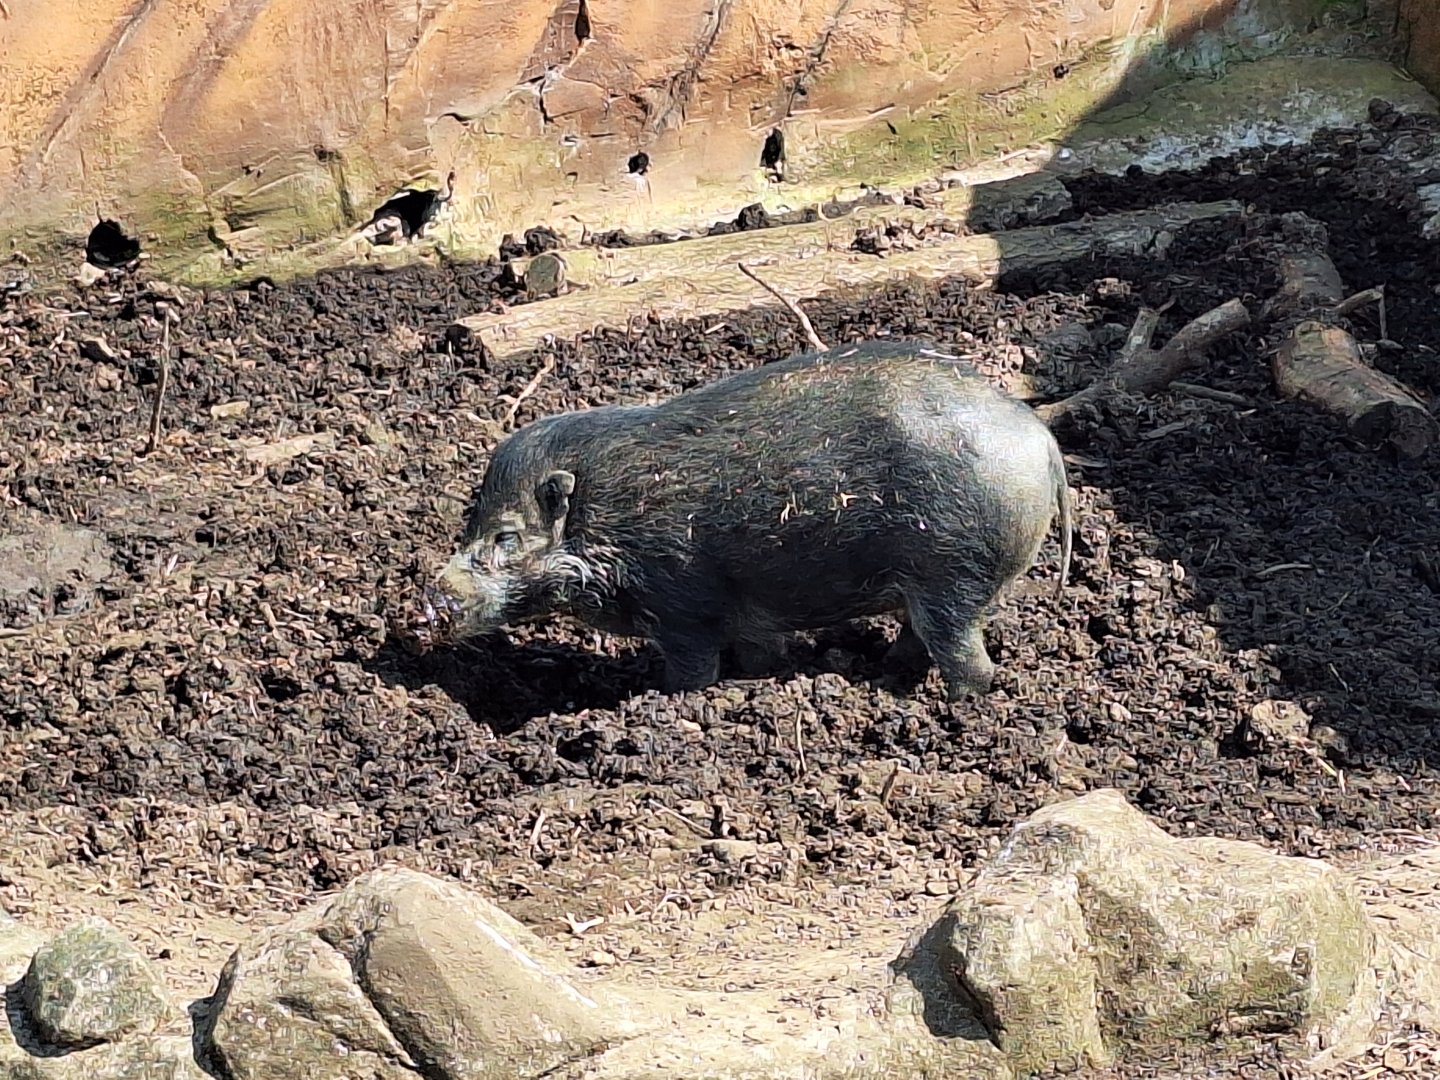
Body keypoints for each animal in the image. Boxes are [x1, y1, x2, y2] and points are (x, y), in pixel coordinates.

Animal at [431, 339, 1072, 699]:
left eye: (507, 536)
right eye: (470, 525)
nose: (433, 596)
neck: (605, 530)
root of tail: (1040, 439)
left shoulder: (682, 606)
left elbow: (692, 671)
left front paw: (667, 700)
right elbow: (759, 654)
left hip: (954, 576)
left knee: (967, 659)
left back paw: (948, 708)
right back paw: (884, 674)